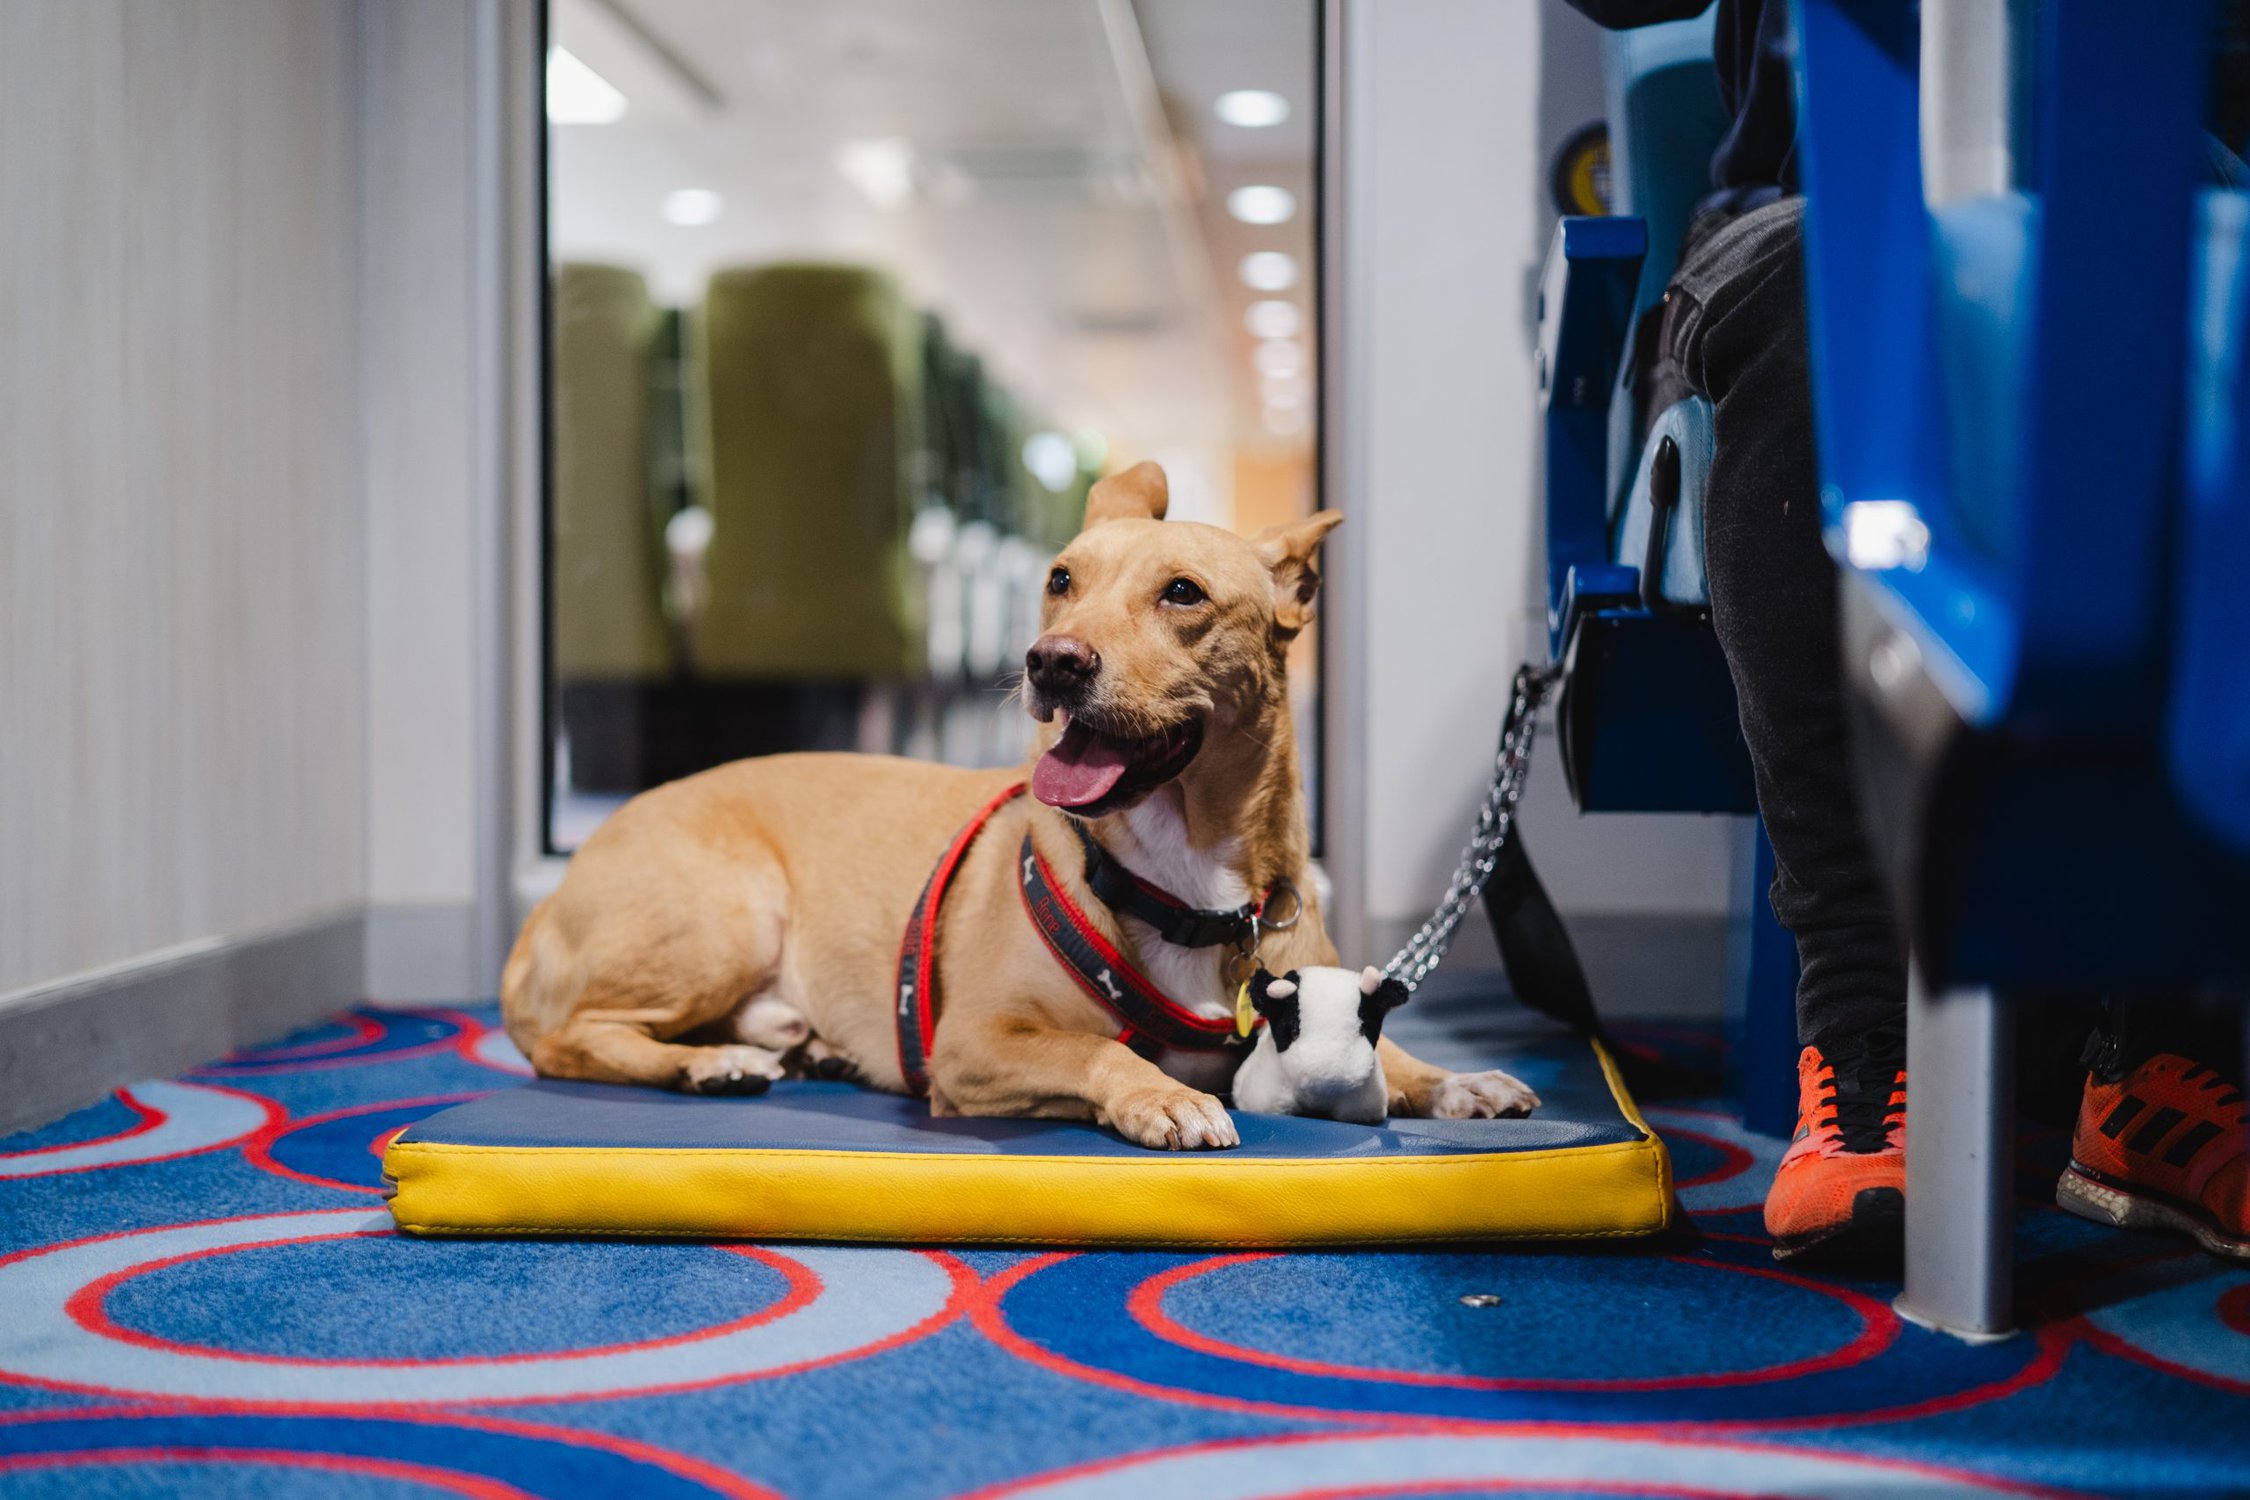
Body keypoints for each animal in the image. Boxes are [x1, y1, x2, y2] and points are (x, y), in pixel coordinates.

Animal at [501, 461, 1539, 1151]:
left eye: (1183, 594)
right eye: (1060, 580)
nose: (1053, 662)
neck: (1185, 884)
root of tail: (554, 896)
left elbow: (1394, 1058)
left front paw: (1451, 1081)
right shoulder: (974, 1044)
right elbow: (1093, 1054)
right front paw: (1160, 1095)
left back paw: (781, 1047)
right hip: (727, 916)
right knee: (568, 1038)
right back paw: (704, 1063)